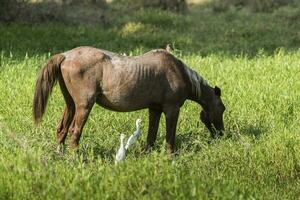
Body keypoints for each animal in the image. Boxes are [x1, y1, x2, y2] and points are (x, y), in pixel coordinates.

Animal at [33, 46, 225, 153]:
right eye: (222, 109)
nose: (221, 134)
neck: (178, 72)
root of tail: (65, 55)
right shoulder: (172, 110)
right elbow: (170, 135)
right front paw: (171, 155)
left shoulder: (155, 109)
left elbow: (151, 133)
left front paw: (147, 153)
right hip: (84, 106)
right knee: (75, 130)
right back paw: (76, 157)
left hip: (71, 105)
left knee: (62, 128)